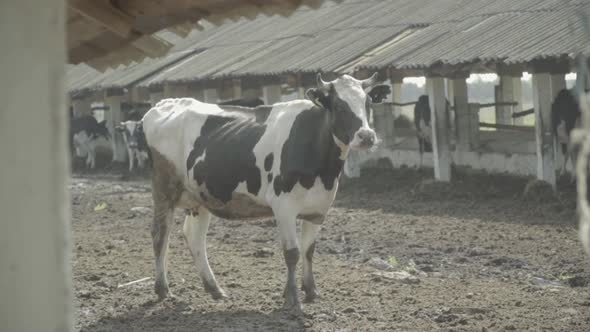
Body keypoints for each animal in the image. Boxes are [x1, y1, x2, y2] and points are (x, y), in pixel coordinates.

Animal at [145, 73, 388, 312]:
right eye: (338, 105)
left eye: (368, 103)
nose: (367, 136)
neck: (322, 169)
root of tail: (164, 104)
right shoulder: (284, 206)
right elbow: (292, 252)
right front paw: (292, 298)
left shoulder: (318, 209)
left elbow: (309, 250)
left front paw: (311, 291)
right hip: (164, 189)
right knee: (160, 235)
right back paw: (163, 289)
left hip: (201, 197)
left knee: (194, 238)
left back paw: (214, 289)